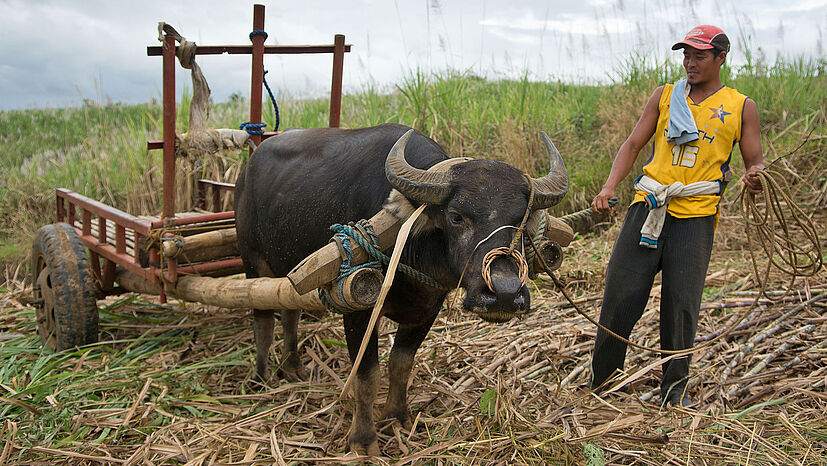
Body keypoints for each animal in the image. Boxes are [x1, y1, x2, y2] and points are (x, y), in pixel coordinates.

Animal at [236, 124, 568, 456]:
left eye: (522, 220)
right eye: (456, 216)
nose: (505, 294)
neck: (409, 246)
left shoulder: (427, 310)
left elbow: (401, 364)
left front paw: (397, 416)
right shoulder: (358, 309)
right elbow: (367, 377)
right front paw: (363, 440)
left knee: (289, 309)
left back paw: (292, 366)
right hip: (252, 261)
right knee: (262, 318)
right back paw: (260, 378)